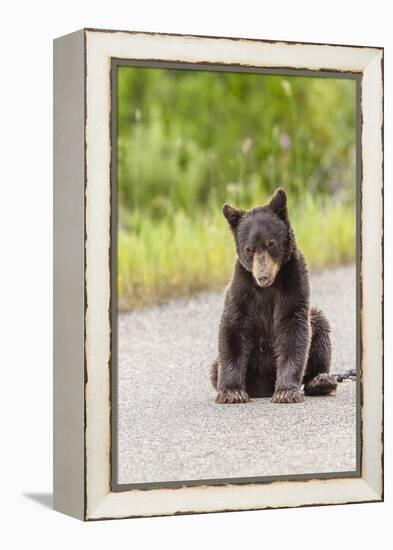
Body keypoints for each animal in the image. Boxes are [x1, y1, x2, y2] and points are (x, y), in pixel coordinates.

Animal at [210, 190, 336, 406]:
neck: (268, 288)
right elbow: (233, 328)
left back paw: (321, 381)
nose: (263, 276)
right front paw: (231, 392)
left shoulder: (293, 284)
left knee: (319, 329)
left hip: (315, 323)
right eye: (249, 249)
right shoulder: (242, 289)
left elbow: (293, 329)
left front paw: (286, 392)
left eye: (270, 244)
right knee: (215, 368)